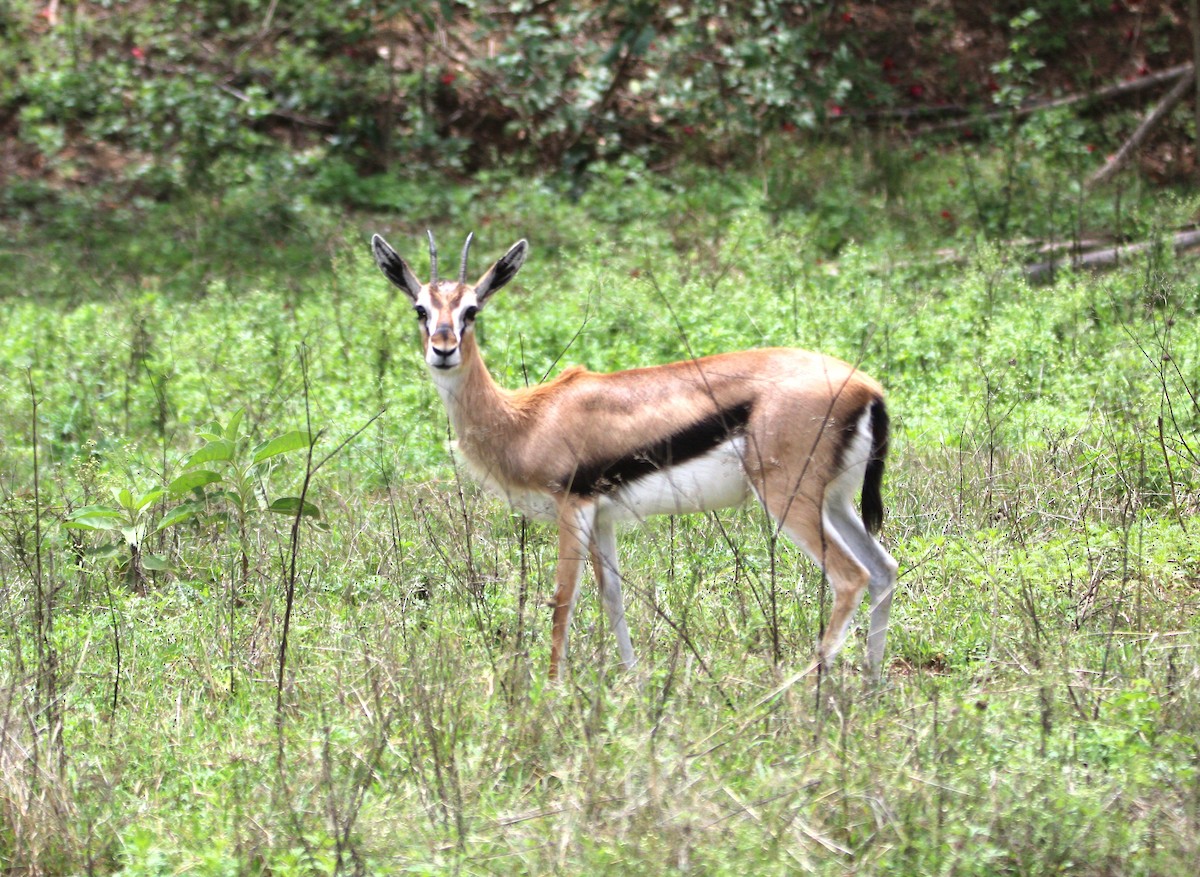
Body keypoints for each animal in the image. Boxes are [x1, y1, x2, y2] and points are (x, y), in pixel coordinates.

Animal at [371, 231, 898, 680]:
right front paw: (633, 682)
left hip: (789, 497)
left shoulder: (573, 506)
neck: (529, 419)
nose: (443, 349)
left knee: (850, 578)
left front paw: (552, 693)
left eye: (472, 310)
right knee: (883, 570)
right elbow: (612, 595)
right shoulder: (603, 516)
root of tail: (867, 387)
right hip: (834, 502)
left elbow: (563, 598)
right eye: (420, 309)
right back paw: (870, 685)